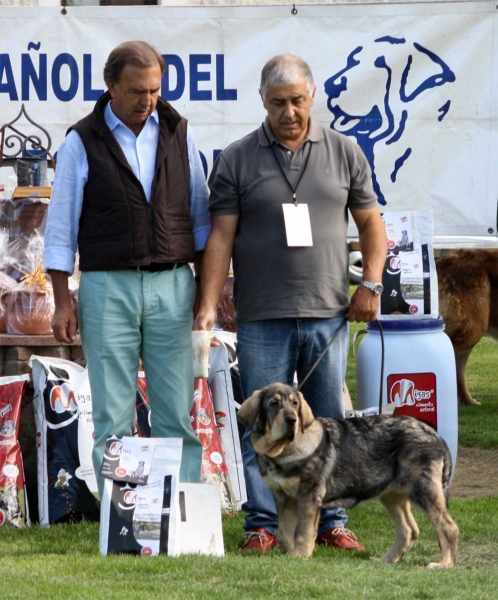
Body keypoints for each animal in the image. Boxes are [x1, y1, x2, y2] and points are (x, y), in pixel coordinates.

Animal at [237, 384, 460, 568]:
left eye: (295, 404)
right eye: (273, 404)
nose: (292, 420)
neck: (282, 450)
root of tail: (436, 436)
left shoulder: (308, 496)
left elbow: (302, 531)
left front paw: (299, 556)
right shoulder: (284, 499)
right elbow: (284, 532)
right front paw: (286, 554)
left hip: (424, 488)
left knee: (447, 526)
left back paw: (444, 564)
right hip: (392, 494)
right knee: (408, 530)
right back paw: (386, 560)